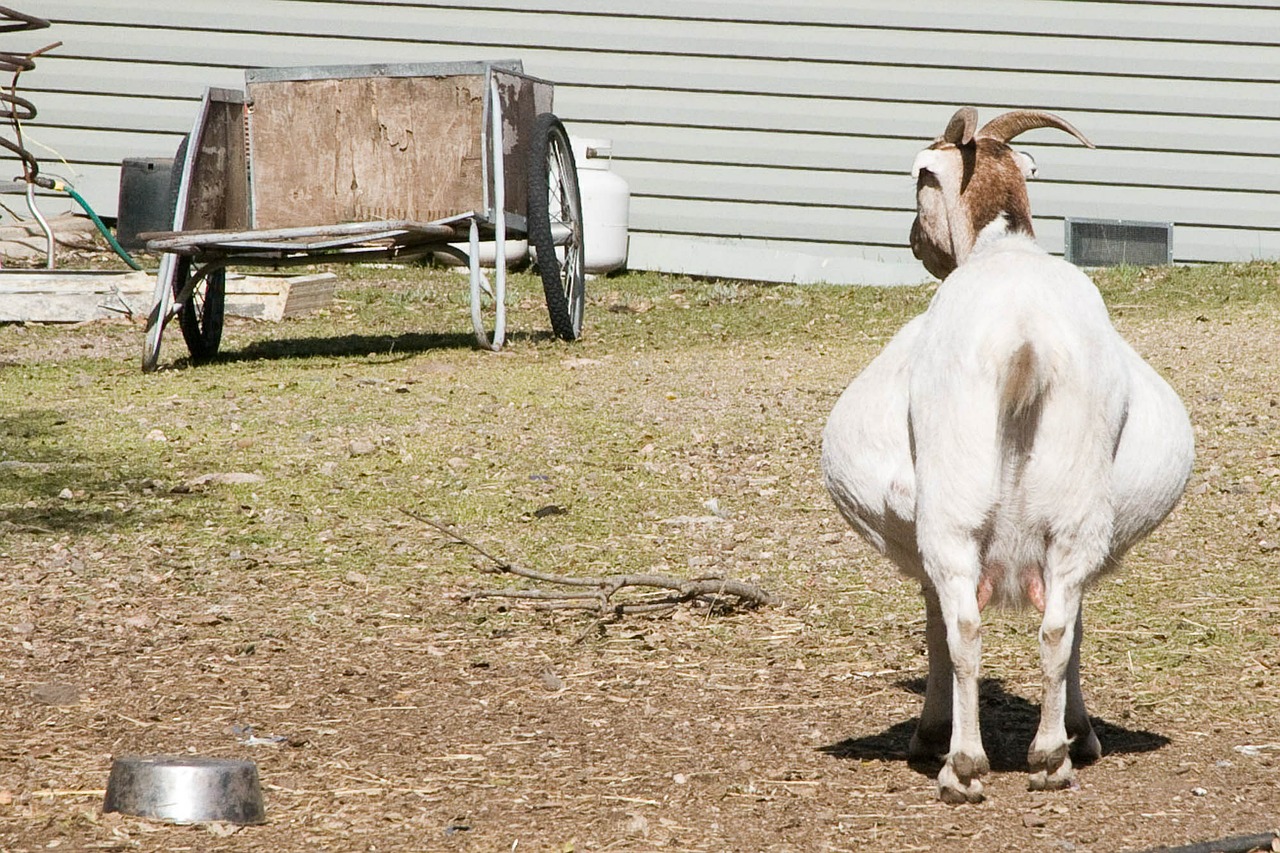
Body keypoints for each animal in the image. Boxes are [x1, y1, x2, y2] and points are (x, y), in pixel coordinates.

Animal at [824, 104, 1192, 799]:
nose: (915, 243)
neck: (1006, 247)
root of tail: (1025, 341)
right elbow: (1074, 626)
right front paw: (1082, 735)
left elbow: (939, 625)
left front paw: (931, 735)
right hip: (1075, 510)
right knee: (1057, 627)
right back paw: (1050, 757)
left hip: (952, 507)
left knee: (966, 627)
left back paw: (963, 766)